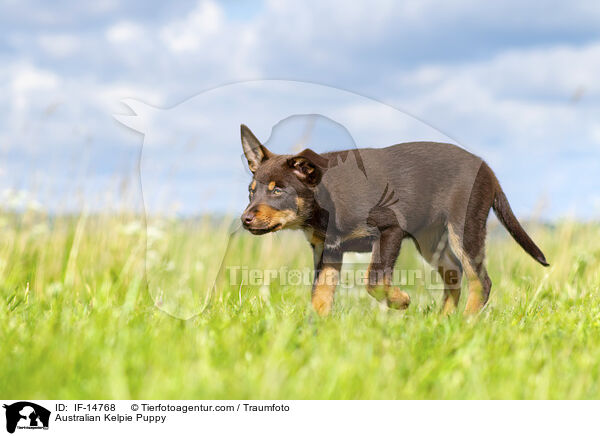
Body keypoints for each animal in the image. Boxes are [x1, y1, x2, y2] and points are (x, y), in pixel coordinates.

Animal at [239, 124, 548, 316]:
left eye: (278, 191)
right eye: (251, 191)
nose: (245, 219)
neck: (324, 202)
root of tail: (488, 170)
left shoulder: (389, 230)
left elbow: (373, 279)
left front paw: (400, 301)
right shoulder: (329, 251)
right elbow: (320, 296)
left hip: (464, 228)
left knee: (480, 281)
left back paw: (466, 322)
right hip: (429, 240)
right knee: (454, 273)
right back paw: (443, 322)